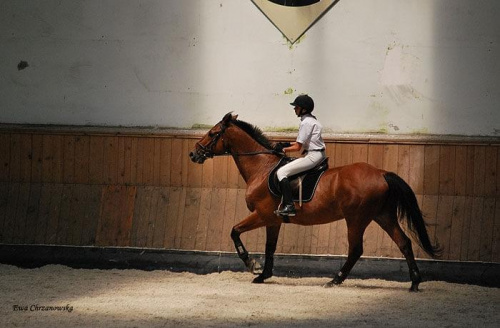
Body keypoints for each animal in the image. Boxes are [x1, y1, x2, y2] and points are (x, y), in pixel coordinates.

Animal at [189, 113, 440, 292]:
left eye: (212, 133)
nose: (193, 154)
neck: (261, 168)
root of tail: (381, 173)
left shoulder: (262, 215)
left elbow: (234, 231)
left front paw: (252, 265)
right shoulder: (274, 220)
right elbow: (270, 247)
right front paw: (263, 275)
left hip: (357, 219)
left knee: (356, 249)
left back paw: (335, 280)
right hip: (383, 216)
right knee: (404, 242)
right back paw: (414, 283)